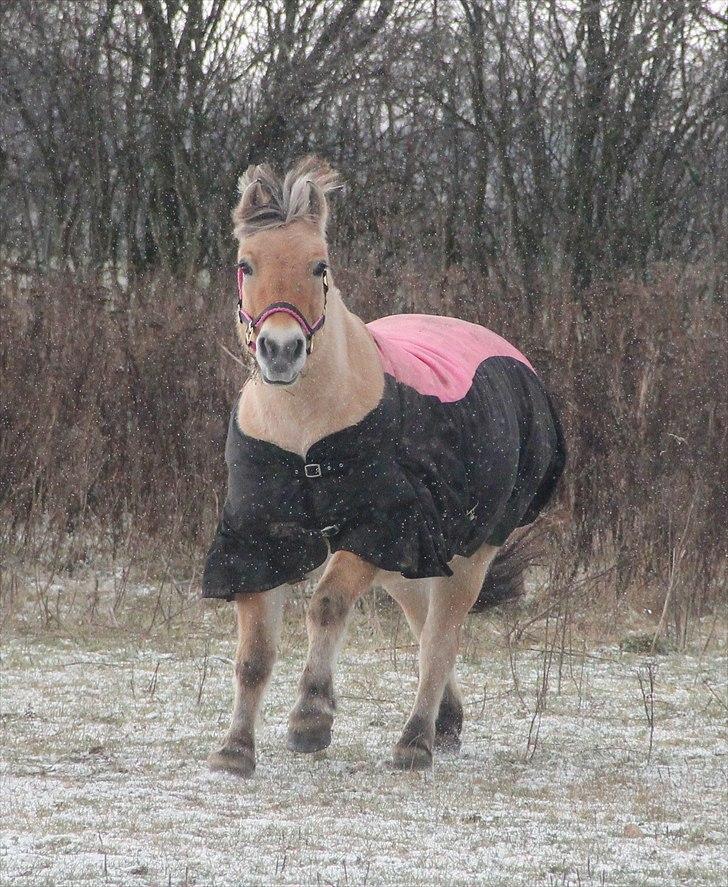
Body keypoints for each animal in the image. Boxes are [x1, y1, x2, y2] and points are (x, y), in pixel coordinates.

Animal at [202, 156, 564, 772]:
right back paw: (446, 723)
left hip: (470, 549)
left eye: (319, 264)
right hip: (408, 560)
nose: (280, 350)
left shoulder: (375, 526)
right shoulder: (258, 538)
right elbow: (253, 654)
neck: (306, 434)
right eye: (245, 265)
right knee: (422, 623)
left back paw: (415, 741)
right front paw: (235, 750)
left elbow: (326, 605)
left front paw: (310, 720)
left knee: (439, 639)